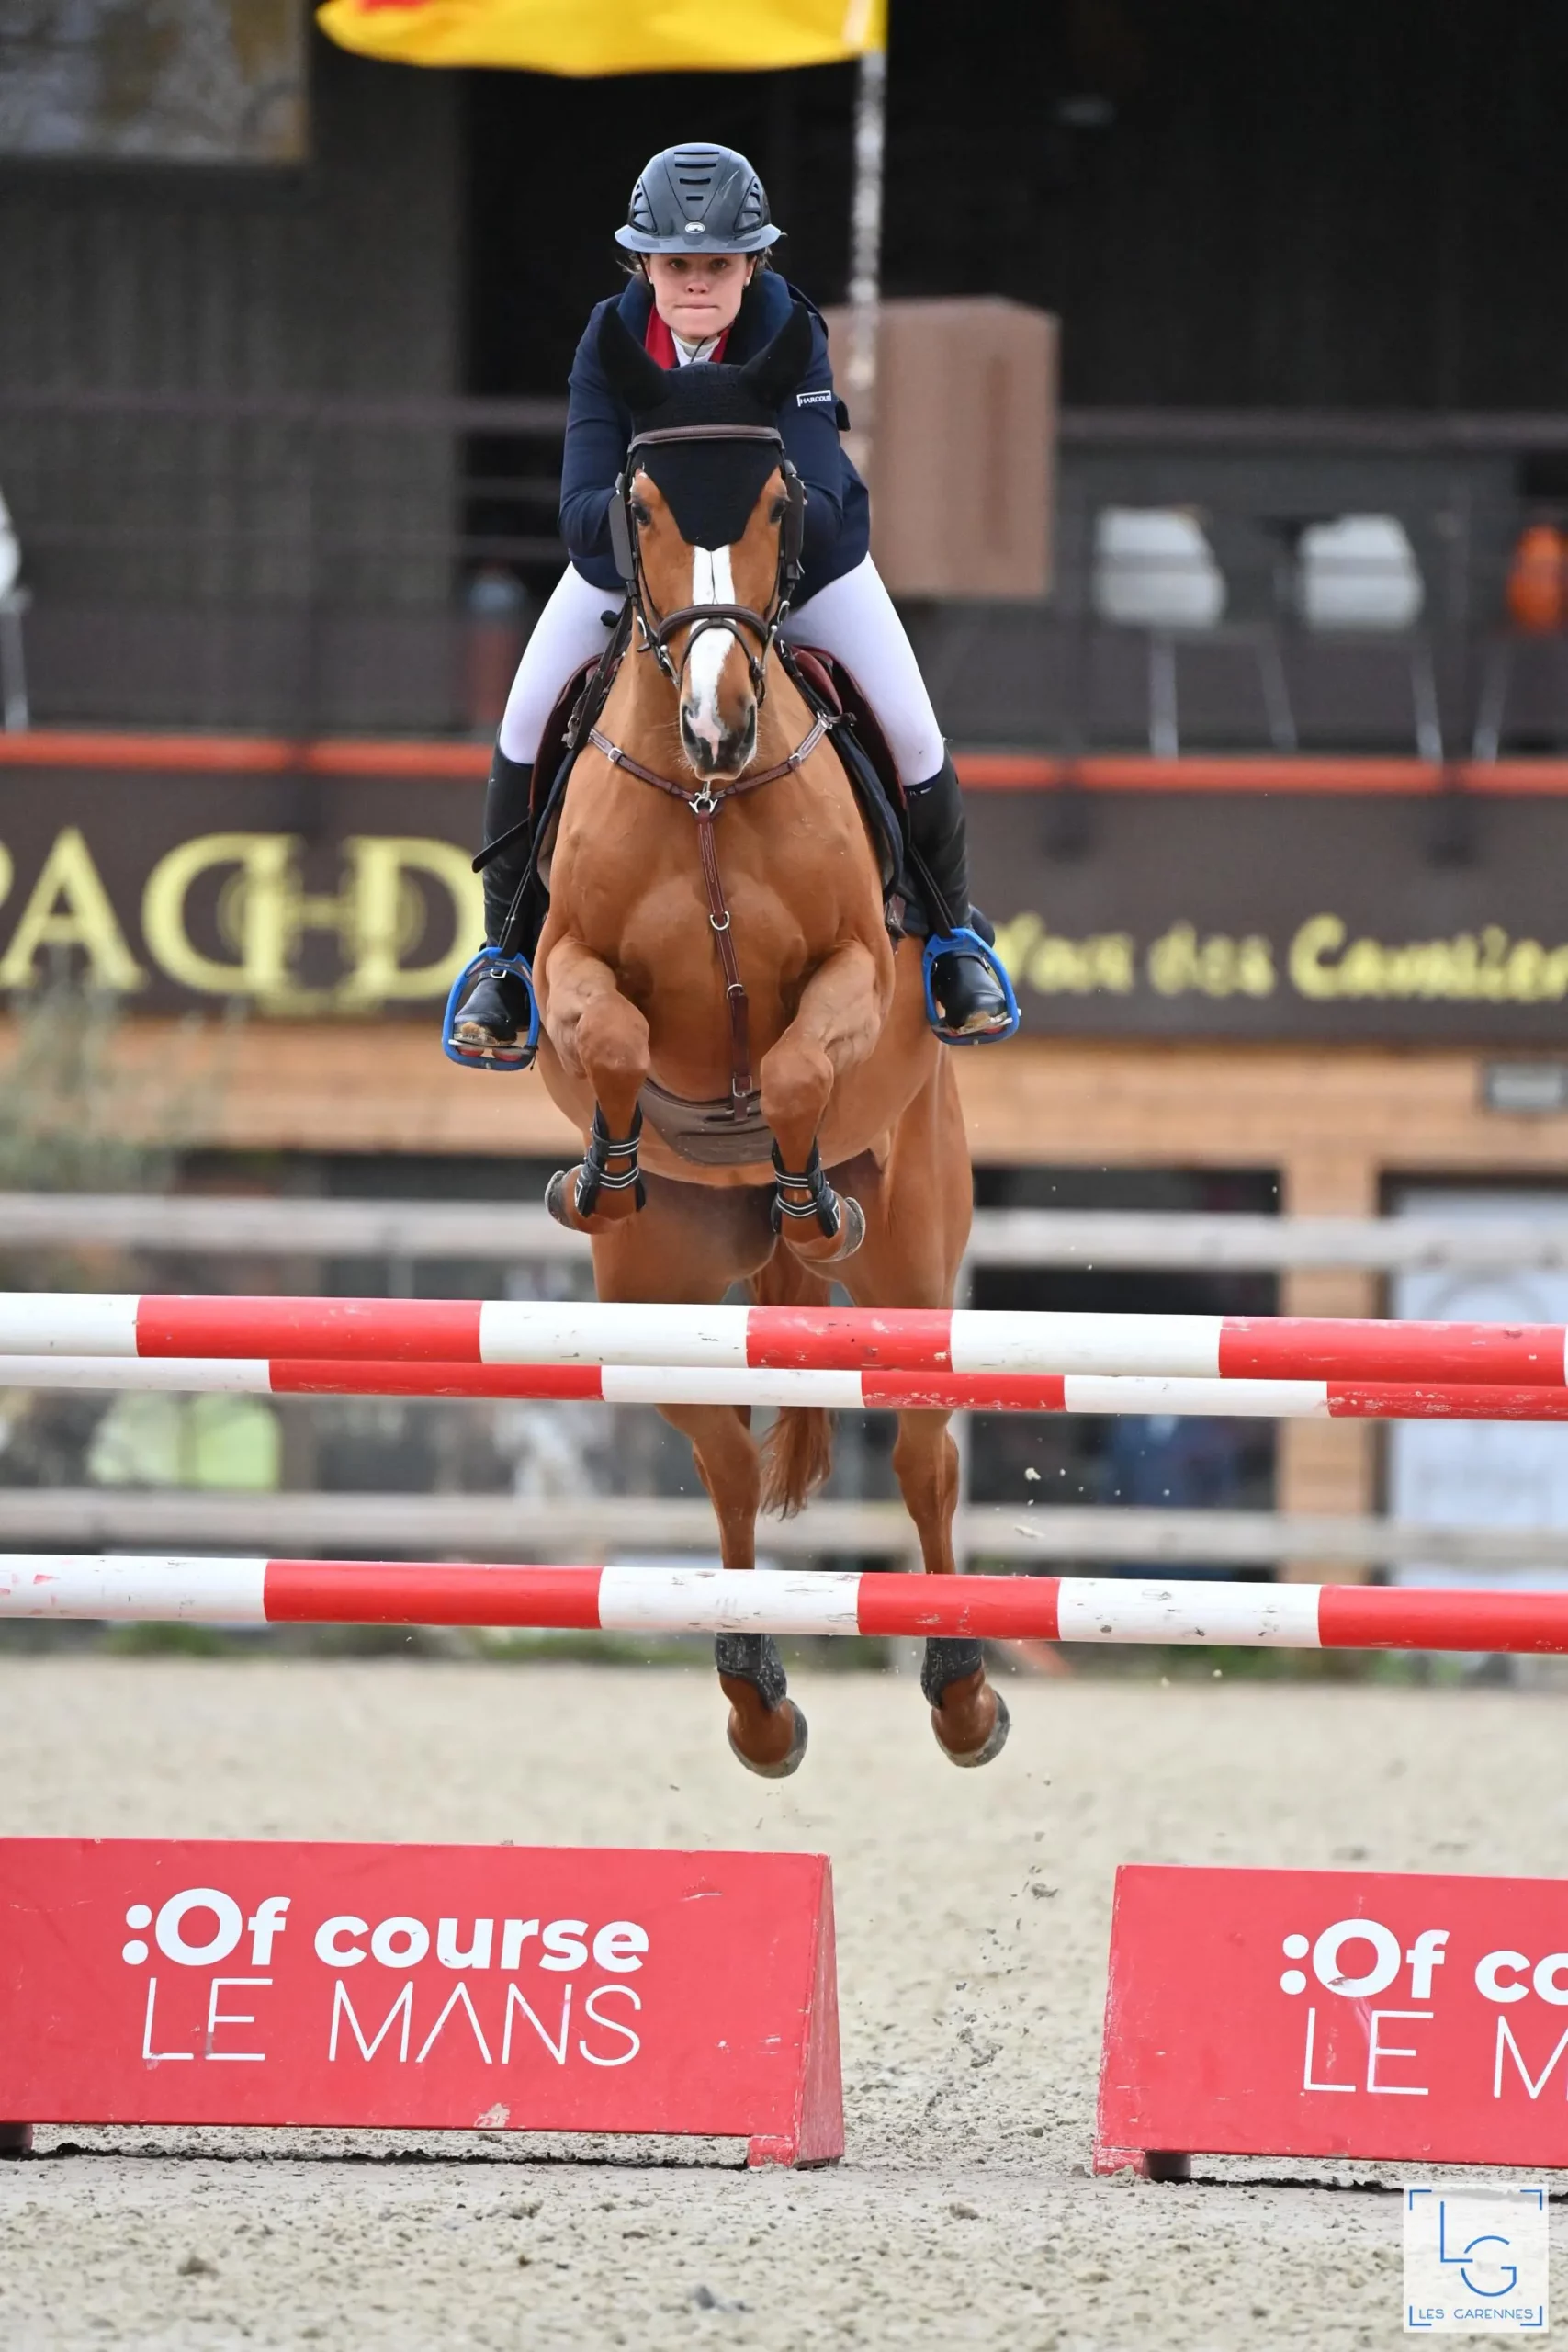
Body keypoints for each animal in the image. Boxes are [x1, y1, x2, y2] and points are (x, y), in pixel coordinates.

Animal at [530, 301, 1008, 1777]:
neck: (704, 798)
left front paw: (804, 1193)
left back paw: (962, 1689)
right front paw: (609, 1160)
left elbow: (796, 1057)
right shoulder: (566, 962)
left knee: (921, 1456)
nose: (714, 721)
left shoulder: (857, 965)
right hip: (657, 1296)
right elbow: (608, 1033)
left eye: (781, 498)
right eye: (637, 503)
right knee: (727, 1460)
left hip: (915, 1253)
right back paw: (755, 1696)